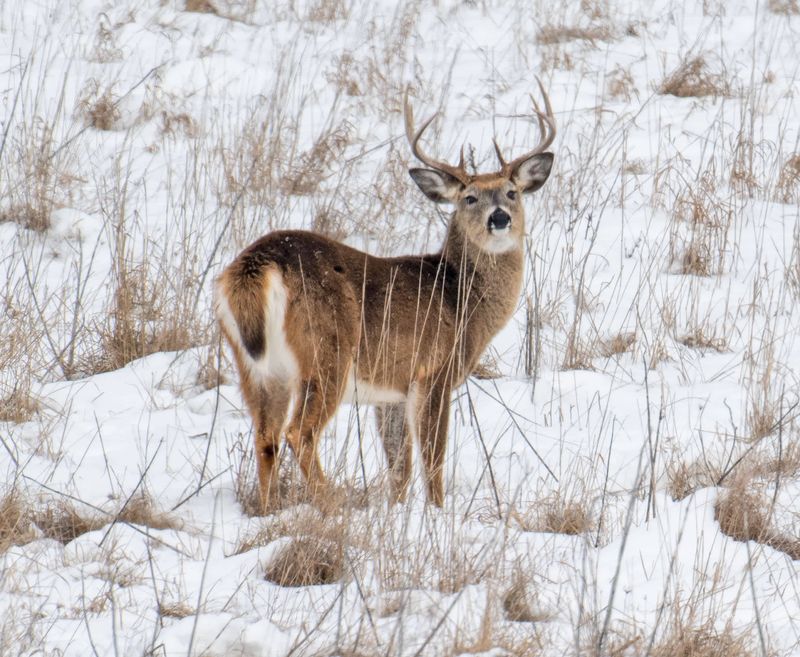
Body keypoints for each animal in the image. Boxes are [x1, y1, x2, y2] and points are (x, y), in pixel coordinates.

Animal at [219, 82, 556, 510]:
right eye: (469, 198)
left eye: (512, 192)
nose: (499, 218)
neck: (459, 296)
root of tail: (255, 265)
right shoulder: (434, 370)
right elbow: (432, 459)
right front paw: (436, 513)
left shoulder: (390, 392)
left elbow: (400, 467)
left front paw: (398, 511)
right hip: (327, 352)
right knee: (300, 433)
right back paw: (331, 504)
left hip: (256, 367)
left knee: (266, 437)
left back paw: (268, 511)